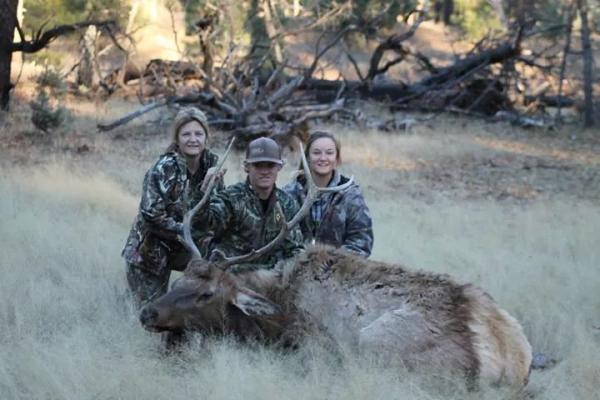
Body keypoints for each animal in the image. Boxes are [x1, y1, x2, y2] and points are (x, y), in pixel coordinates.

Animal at [139, 138, 532, 388]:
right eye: (179, 281)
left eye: (207, 294)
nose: (147, 312)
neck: (279, 306)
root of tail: (505, 360)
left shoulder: (312, 347)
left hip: (375, 344)